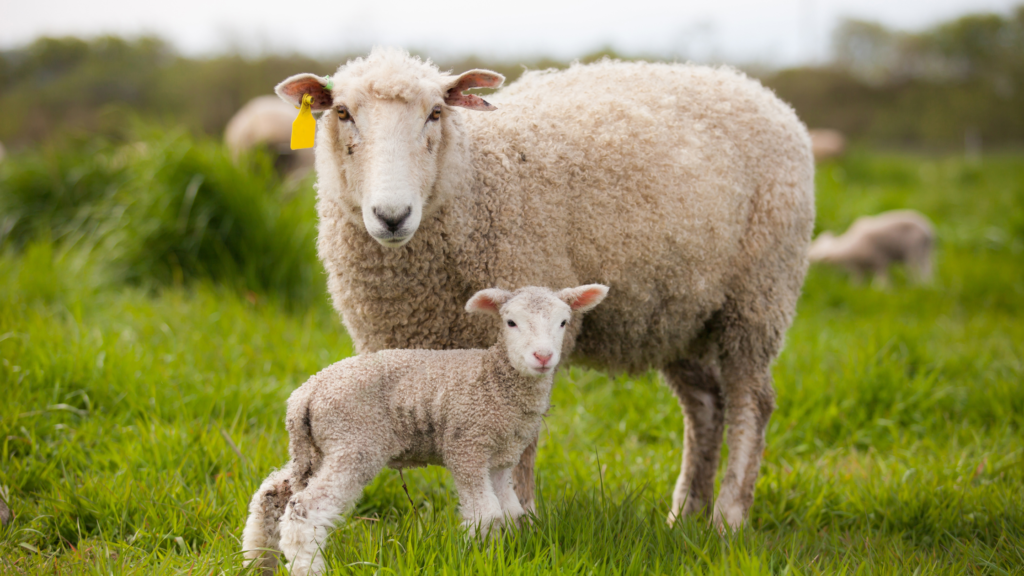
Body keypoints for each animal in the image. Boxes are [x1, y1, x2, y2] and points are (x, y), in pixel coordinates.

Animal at [241, 284, 609, 576]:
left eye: (563, 322)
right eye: (511, 322)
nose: (543, 356)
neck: (495, 379)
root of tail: (305, 394)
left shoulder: (501, 458)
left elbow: (510, 512)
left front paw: (503, 556)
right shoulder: (467, 445)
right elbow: (486, 514)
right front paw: (477, 560)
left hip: (318, 448)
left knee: (271, 494)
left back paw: (257, 562)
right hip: (354, 442)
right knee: (304, 511)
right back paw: (306, 568)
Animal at [273, 47, 815, 531]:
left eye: (435, 113)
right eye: (342, 113)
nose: (392, 216)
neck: (474, 183)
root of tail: (759, 91)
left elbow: (520, 448)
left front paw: (523, 523)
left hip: (759, 292)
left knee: (751, 401)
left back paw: (728, 519)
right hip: (675, 311)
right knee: (705, 404)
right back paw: (684, 515)